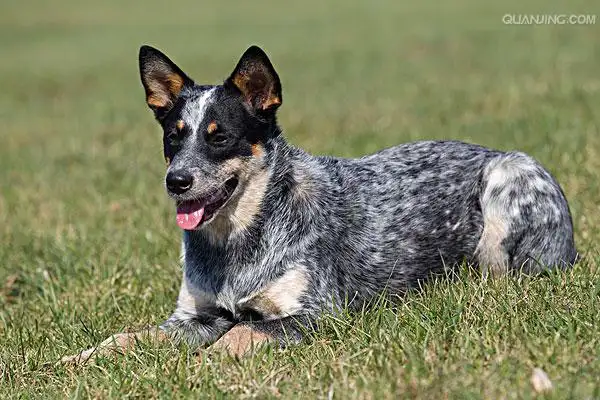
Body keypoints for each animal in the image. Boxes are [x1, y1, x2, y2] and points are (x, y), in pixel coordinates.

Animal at [61, 45, 576, 364]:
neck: (237, 242)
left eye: (220, 137)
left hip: (508, 180)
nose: (176, 181)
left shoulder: (317, 313)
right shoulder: (193, 315)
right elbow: (127, 335)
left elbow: (240, 332)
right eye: (173, 137)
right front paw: (74, 359)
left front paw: (203, 364)